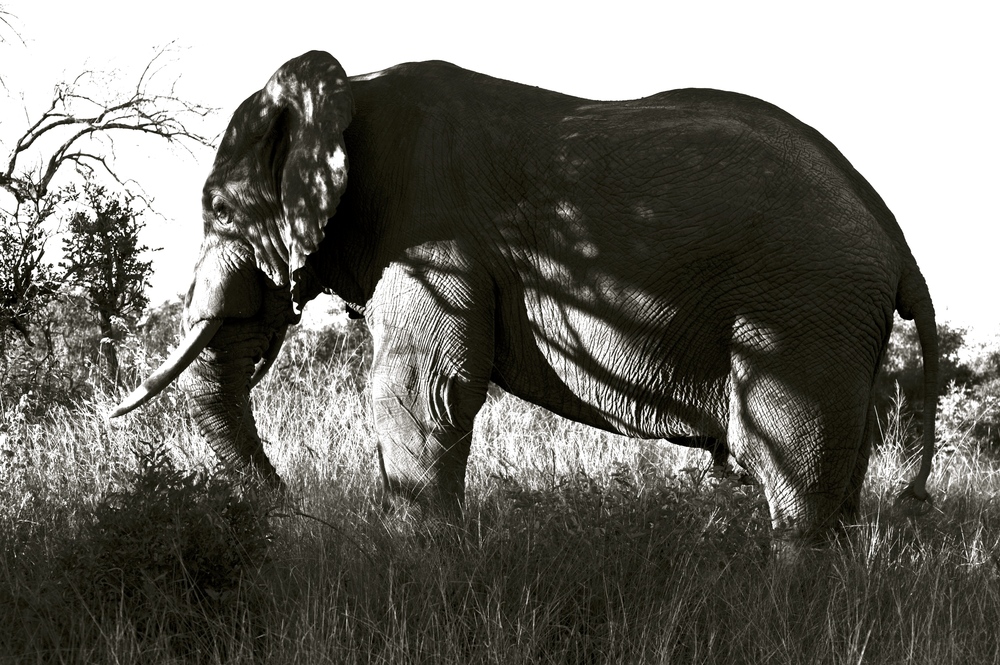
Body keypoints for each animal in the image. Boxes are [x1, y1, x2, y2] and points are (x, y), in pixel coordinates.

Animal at [113, 50, 940, 540]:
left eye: (217, 208)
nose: (290, 505)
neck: (355, 89)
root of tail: (895, 239)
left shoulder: (433, 233)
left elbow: (420, 392)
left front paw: (416, 572)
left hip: (802, 311)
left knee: (795, 481)